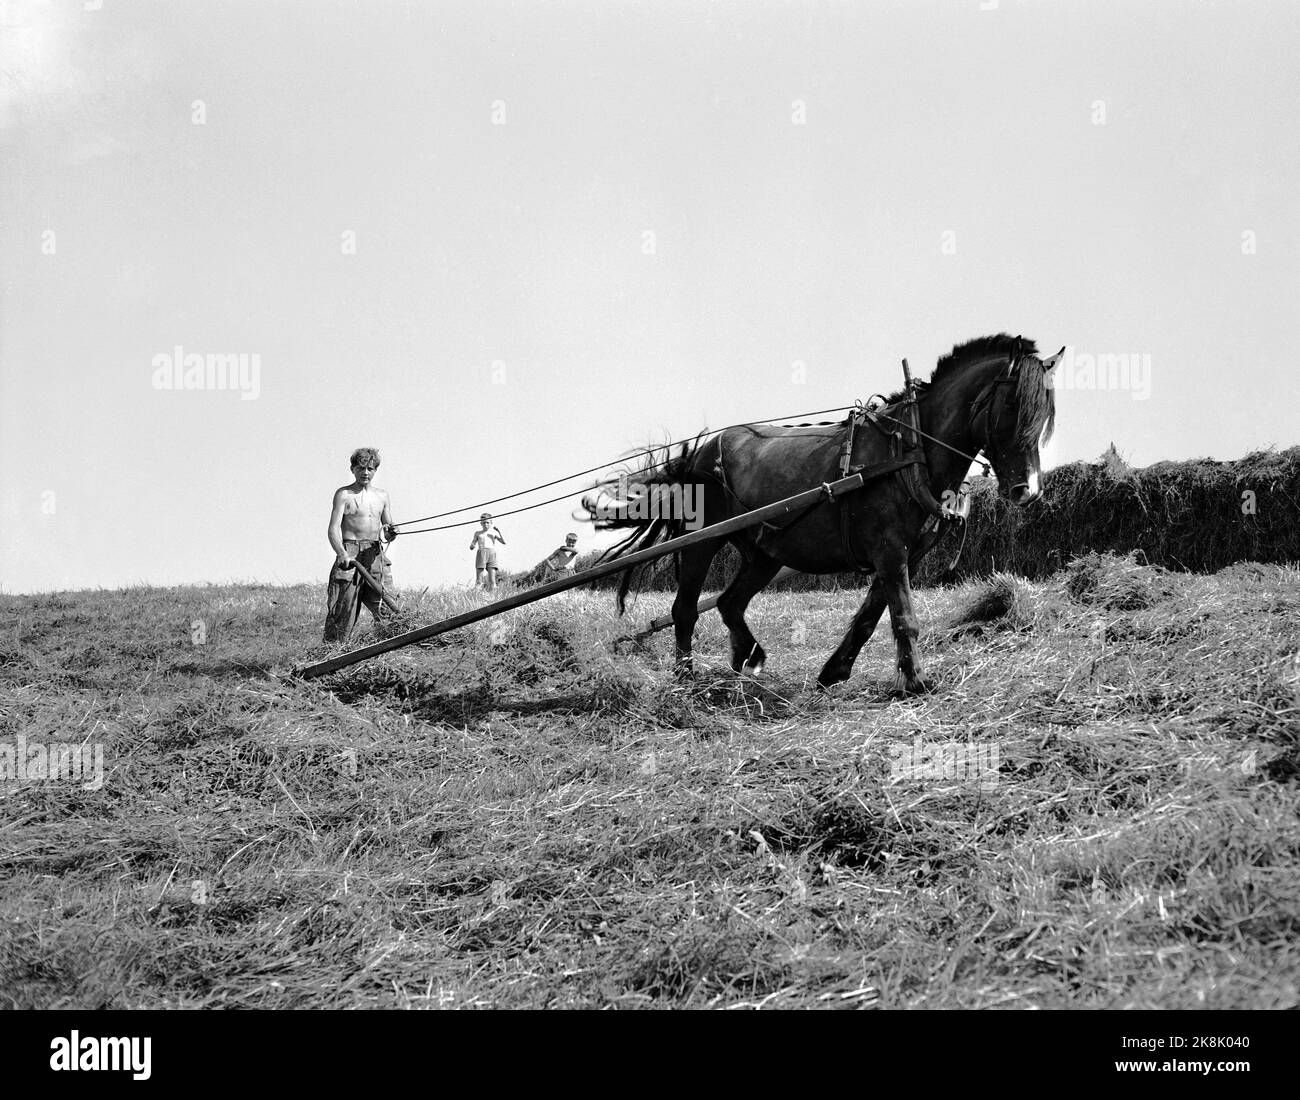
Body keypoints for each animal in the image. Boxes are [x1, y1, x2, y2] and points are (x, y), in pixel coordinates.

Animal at [585, 338, 1060, 696]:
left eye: (1045, 414)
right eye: (1013, 408)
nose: (1027, 490)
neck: (911, 452)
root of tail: (697, 455)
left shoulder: (904, 554)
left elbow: (870, 616)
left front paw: (835, 671)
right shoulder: (890, 550)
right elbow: (903, 617)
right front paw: (917, 681)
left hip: (766, 551)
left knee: (729, 602)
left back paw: (748, 658)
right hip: (703, 540)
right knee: (685, 608)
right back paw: (686, 677)